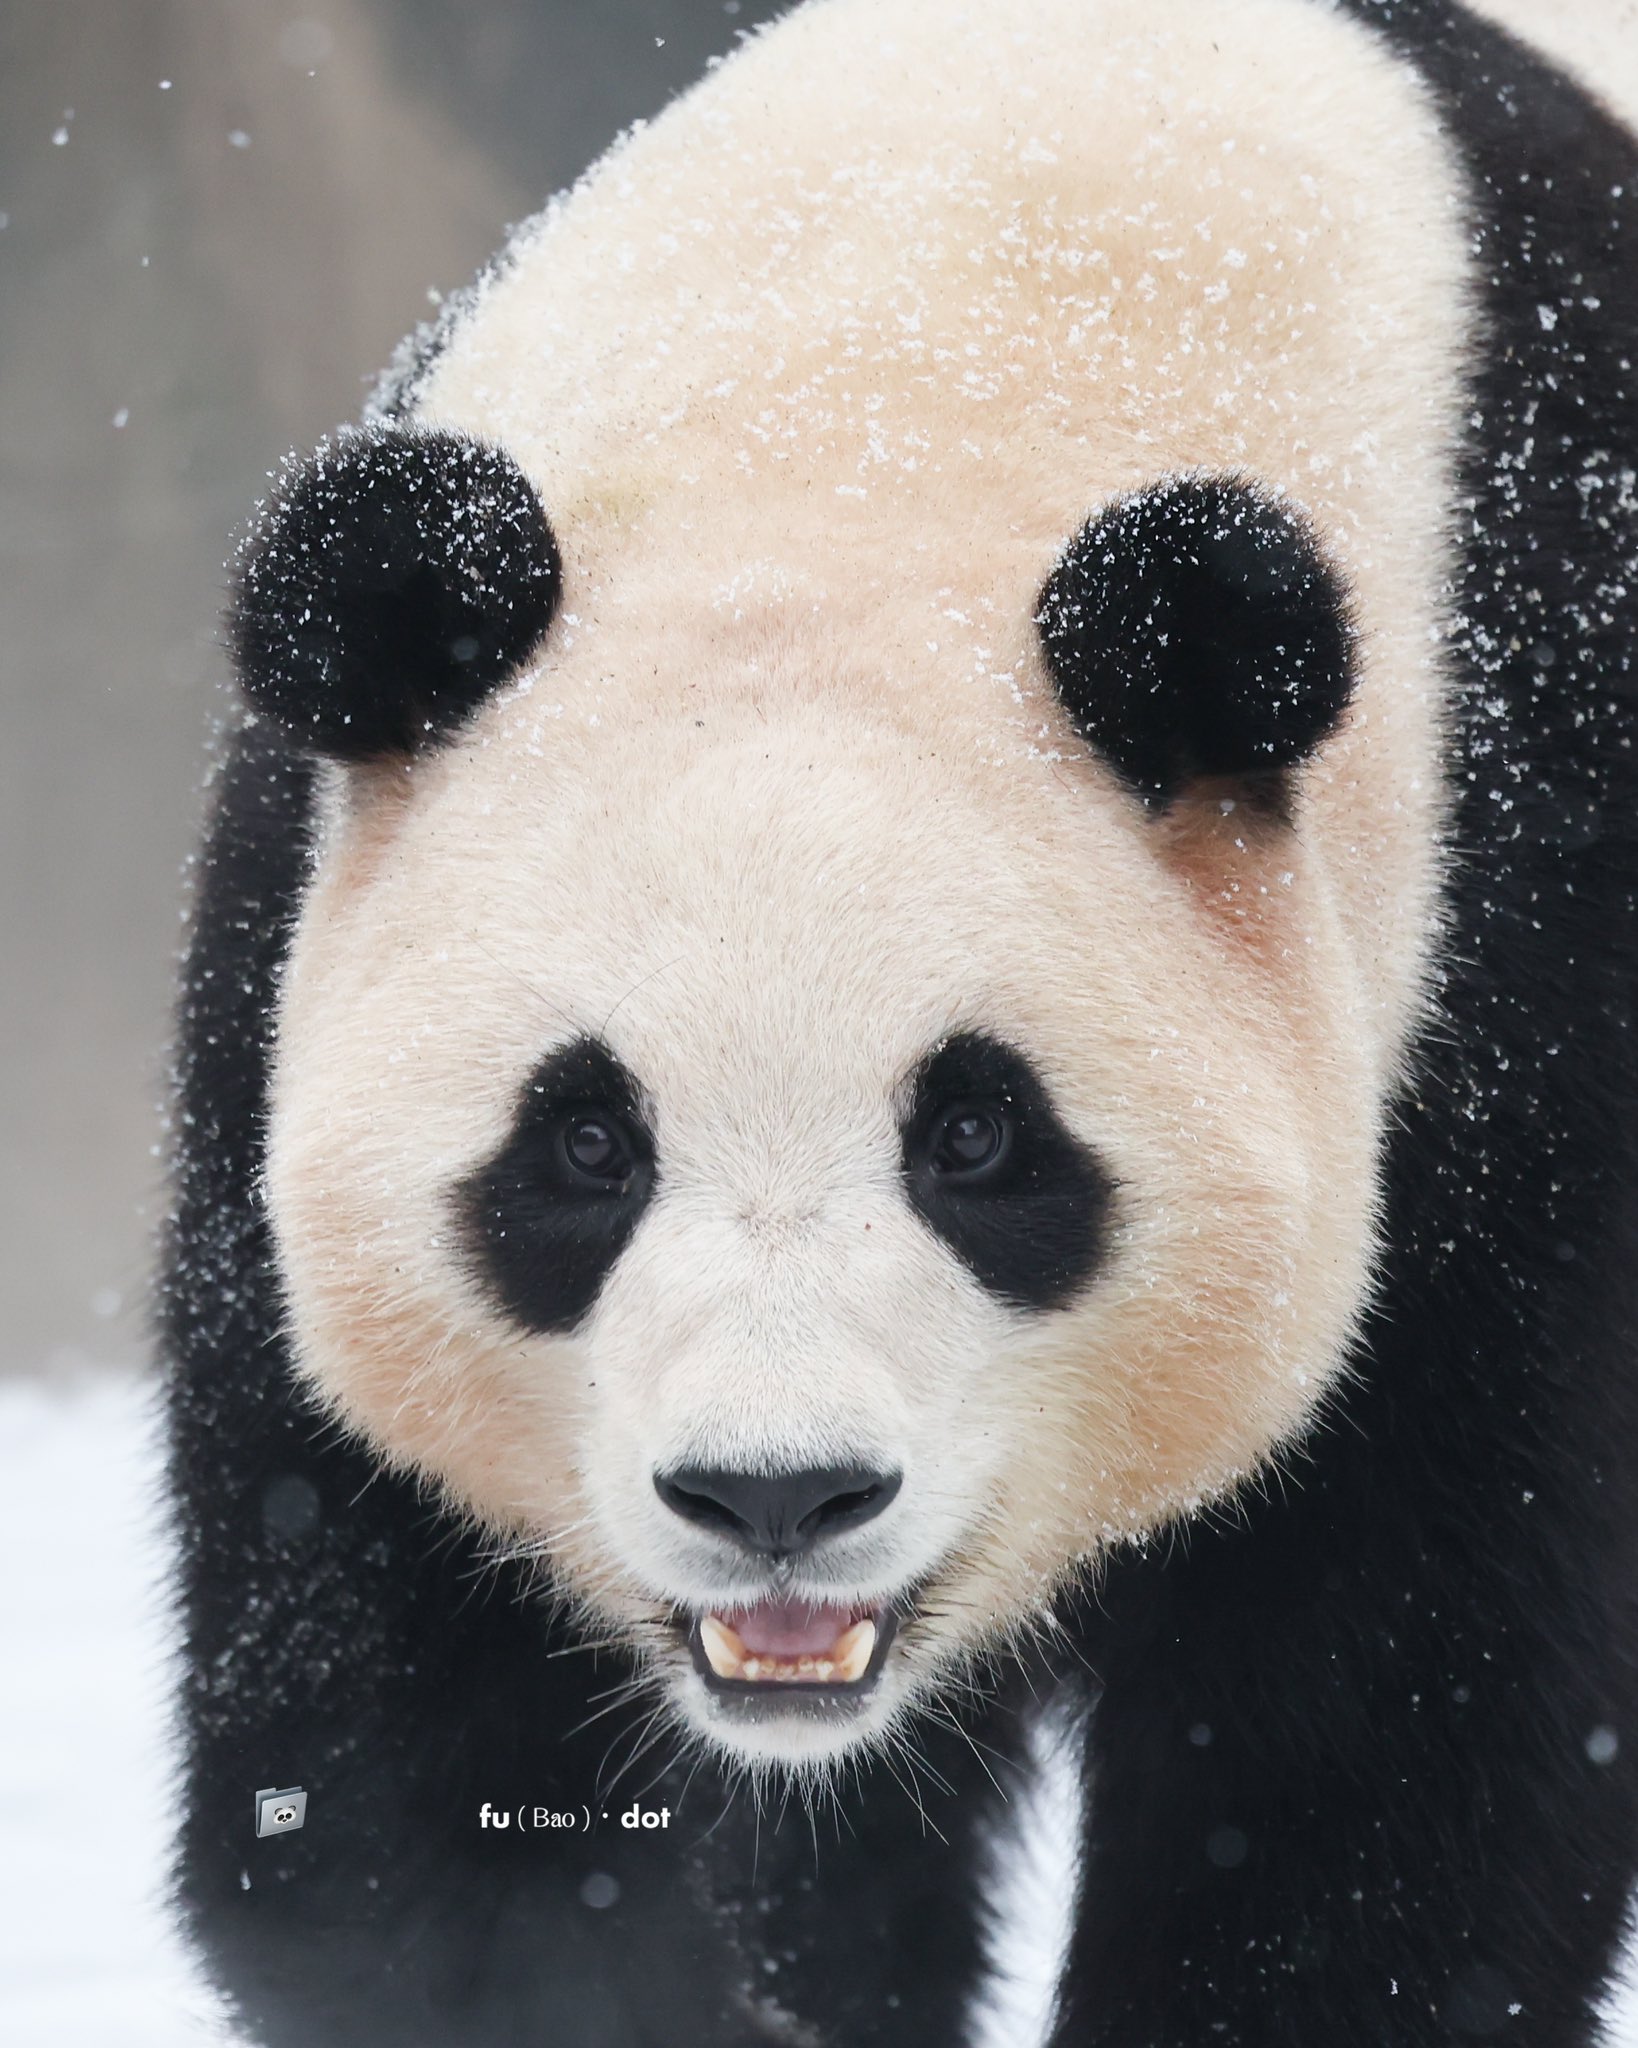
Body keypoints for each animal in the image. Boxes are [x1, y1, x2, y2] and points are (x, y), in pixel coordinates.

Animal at [162, 4, 1637, 2048]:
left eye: (976, 1136)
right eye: (583, 1142)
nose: (773, 1493)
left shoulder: (1511, 935)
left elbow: (1389, 1754)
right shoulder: (287, 948)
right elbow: (388, 1764)